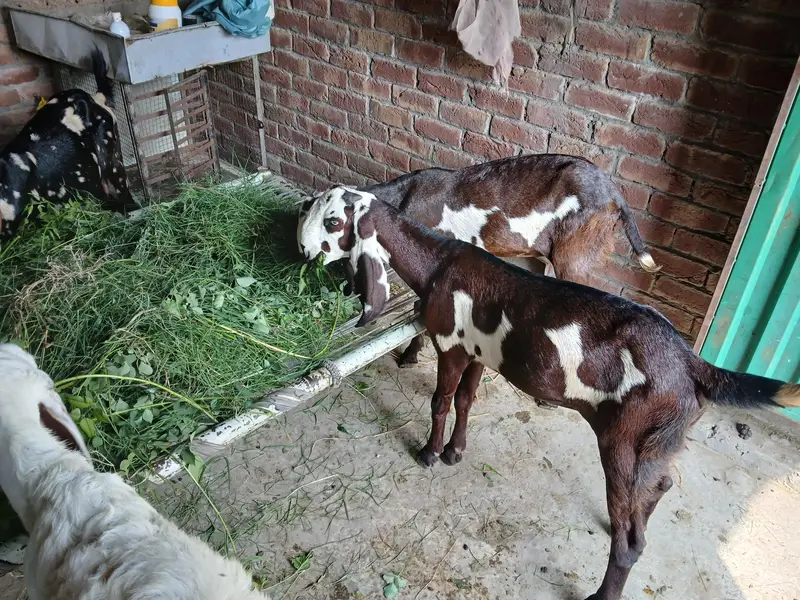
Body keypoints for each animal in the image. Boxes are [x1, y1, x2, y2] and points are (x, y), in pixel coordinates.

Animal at [298, 188, 800, 600]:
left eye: (333, 221)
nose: (301, 247)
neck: (439, 264)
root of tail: (694, 366)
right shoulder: (479, 352)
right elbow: (465, 401)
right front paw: (456, 452)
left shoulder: (452, 345)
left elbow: (440, 401)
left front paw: (429, 454)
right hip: (659, 442)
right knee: (658, 488)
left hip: (622, 438)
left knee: (630, 536)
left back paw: (601, 593)